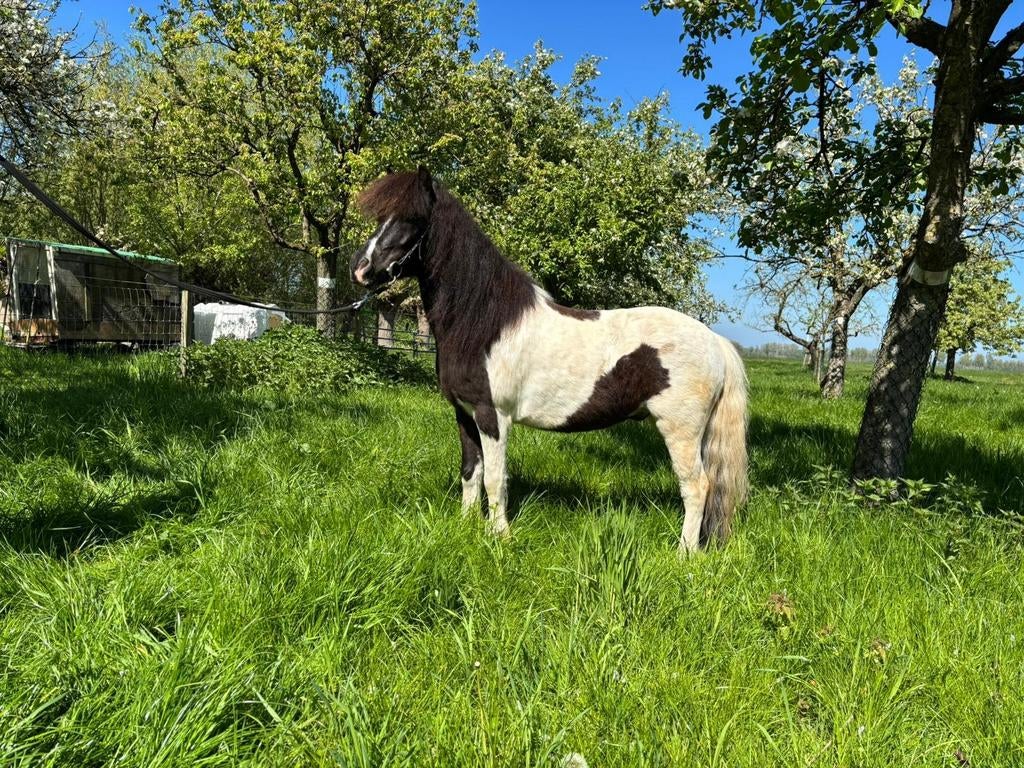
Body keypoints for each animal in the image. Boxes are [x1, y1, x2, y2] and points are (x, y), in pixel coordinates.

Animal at [350, 166, 748, 552]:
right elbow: (470, 472)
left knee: (696, 487)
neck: (484, 325)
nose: (361, 268)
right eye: (382, 217)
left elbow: (495, 479)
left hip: (680, 430)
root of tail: (715, 342)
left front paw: (500, 536)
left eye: (413, 219)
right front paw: (465, 527)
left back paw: (684, 554)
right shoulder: (464, 413)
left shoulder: (492, 415)